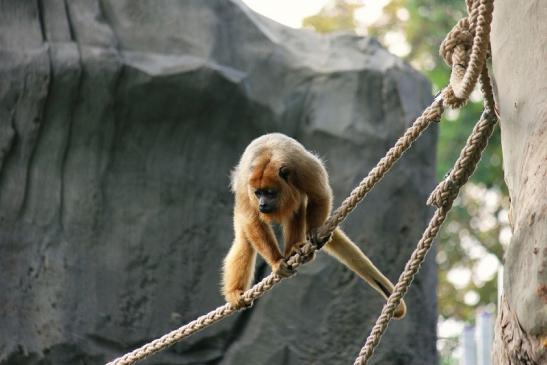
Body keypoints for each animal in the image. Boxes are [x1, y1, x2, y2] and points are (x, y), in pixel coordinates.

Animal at [223, 132, 406, 318]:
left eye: (270, 193)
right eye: (258, 193)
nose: (262, 204)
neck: (269, 159)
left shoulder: (303, 168)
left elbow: (319, 196)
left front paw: (313, 232)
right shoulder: (245, 185)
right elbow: (252, 220)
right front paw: (276, 262)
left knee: (297, 206)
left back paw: (294, 249)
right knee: (244, 239)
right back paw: (236, 291)